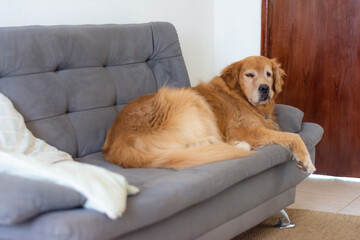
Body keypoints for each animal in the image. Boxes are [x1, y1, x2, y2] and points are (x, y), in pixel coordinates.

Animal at [102, 55, 316, 173]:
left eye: (268, 74)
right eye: (249, 75)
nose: (265, 89)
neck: (240, 96)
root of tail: (117, 140)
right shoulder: (245, 130)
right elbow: (293, 136)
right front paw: (305, 160)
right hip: (188, 99)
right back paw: (235, 146)